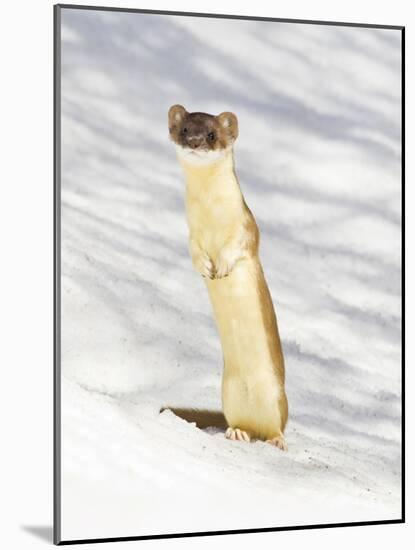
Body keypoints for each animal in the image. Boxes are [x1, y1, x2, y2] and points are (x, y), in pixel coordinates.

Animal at [169, 105, 290, 450]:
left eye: (212, 134)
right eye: (185, 129)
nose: (195, 142)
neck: (211, 216)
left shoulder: (247, 228)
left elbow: (239, 246)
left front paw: (221, 267)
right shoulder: (192, 234)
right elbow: (193, 251)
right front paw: (205, 267)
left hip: (278, 395)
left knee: (277, 426)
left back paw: (276, 440)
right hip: (228, 392)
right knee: (241, 423)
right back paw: (237, 432)